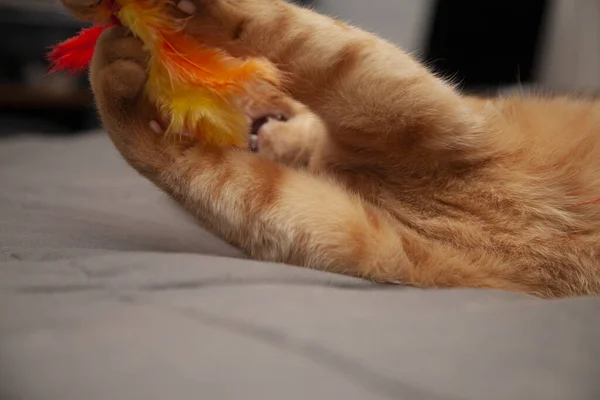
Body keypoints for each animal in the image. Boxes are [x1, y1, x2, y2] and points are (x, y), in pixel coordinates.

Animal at [61, 0, 600, 296]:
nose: (255, 130)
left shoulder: (391, 93)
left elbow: (282, 27)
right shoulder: (371, 243)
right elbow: (171, 156)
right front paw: (122, 81)